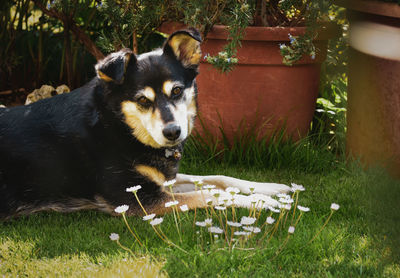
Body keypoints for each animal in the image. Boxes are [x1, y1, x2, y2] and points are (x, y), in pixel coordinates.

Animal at [0, 28, 288, 219]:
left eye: (176, 91)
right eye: (142, 100)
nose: (173, 132)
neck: (117, 126)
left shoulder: (161, 180)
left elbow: (218, 178)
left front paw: (271, 188)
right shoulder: (139, 198)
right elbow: (210, 194)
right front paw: (260, 201)